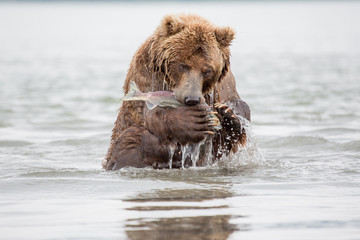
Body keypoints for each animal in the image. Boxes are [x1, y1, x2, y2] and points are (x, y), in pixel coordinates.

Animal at [104, 14, 250, 171]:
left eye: (207, 70)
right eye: (182, 65)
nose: (192, 99)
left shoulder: (223, 85)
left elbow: (235, 113)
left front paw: (228, 112)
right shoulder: (149, 77)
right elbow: (152, 115)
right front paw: (194, 119)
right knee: (131, 143)